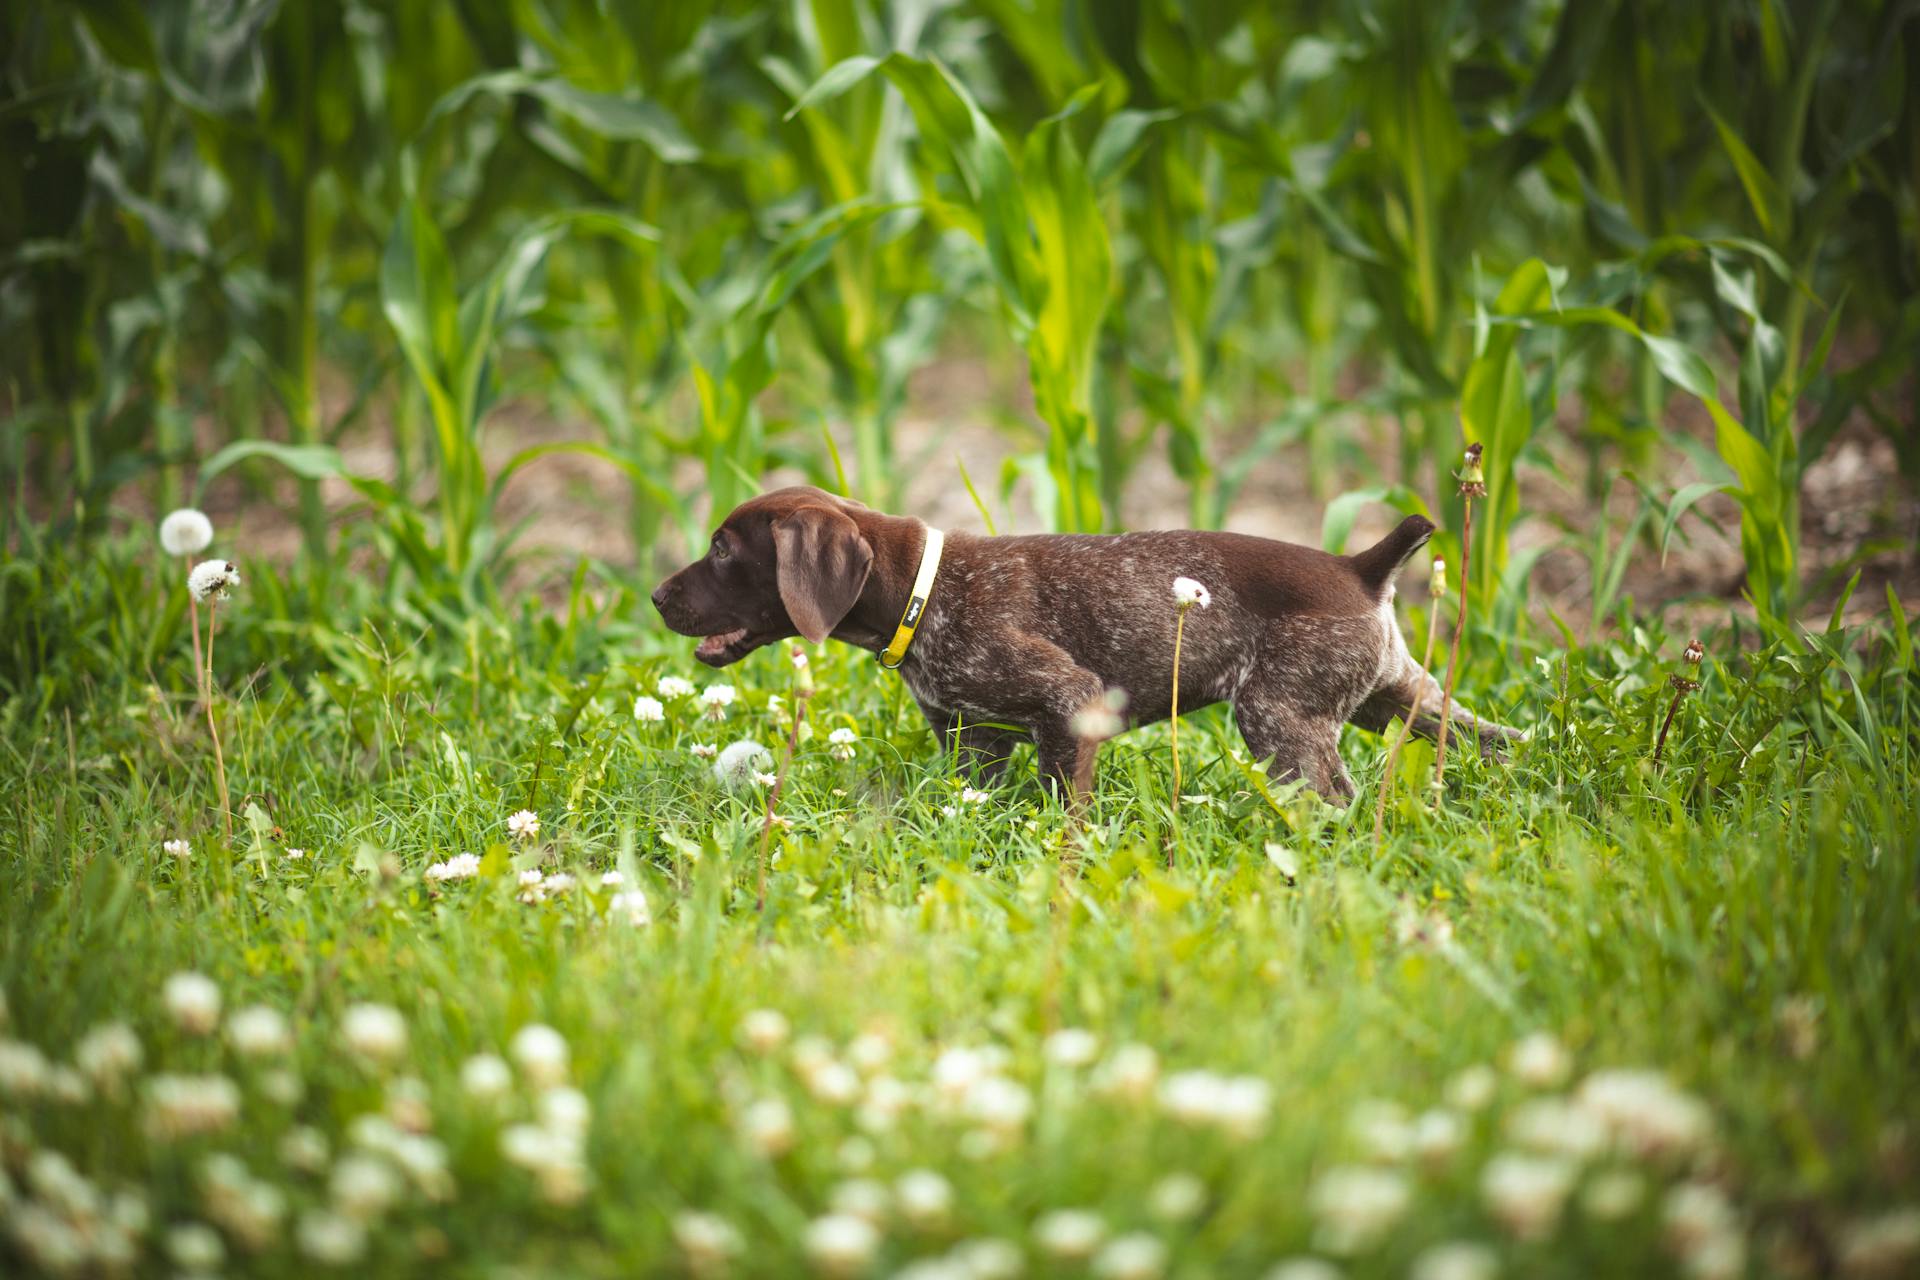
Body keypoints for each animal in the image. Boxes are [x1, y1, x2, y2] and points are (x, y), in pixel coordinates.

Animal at [652, 487, 1520, 802]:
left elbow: (1063, 804)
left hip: (1280, 717)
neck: (922, 594)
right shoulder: (974, 741)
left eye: (724, 549)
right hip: (1398, 699)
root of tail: (1359, 567)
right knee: (1500, 740)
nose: (657, 596)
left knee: (1335, 798)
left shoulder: (1070, 703)